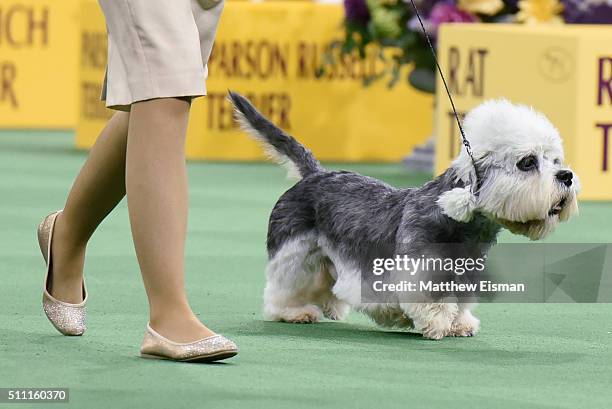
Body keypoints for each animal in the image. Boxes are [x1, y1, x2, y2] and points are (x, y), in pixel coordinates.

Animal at [228, 91, 580, 338]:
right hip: (297, 253)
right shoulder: (421, 271)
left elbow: (461, 303)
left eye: (554, 159)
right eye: (527, 163)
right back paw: (294, 312)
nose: (567, 176)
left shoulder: (466, 275)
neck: (459, 224)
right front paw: (437, 324)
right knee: (282, 287)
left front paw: (460, 324)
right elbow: (431, 301)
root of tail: (315, 174)